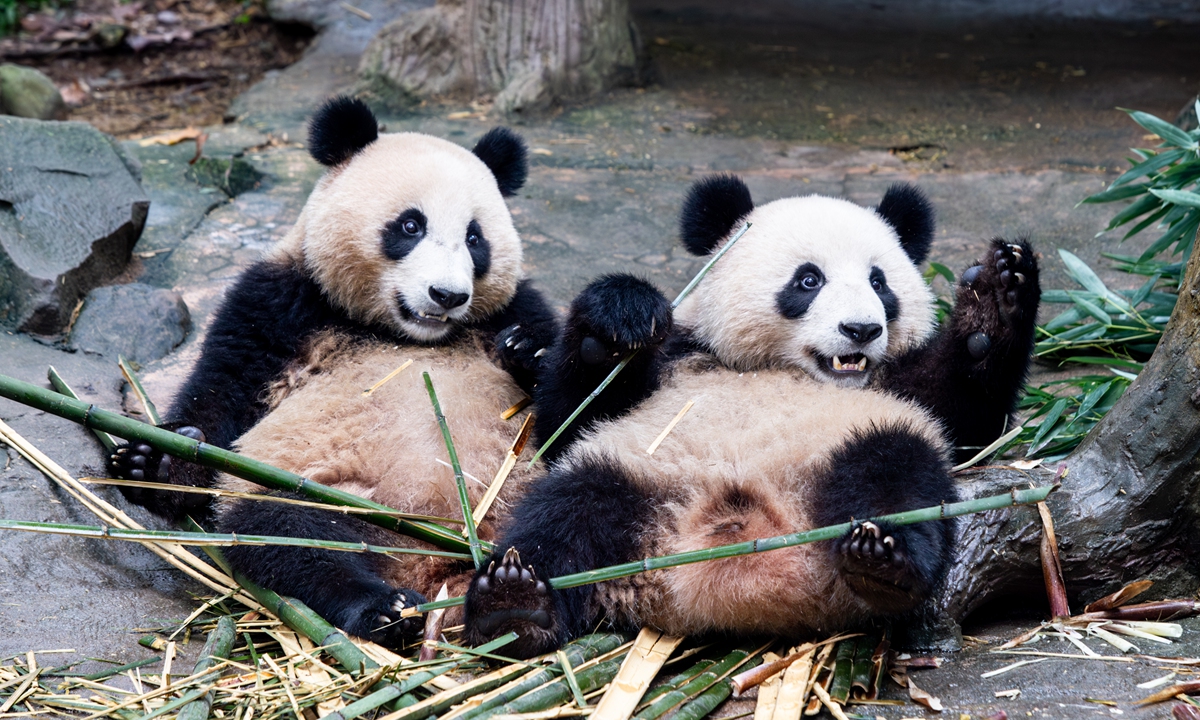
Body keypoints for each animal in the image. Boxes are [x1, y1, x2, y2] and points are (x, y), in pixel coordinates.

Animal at [108, 96, 558, 647]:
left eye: (475, 239)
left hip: (519, 500)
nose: (448, 296)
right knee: (292, 536)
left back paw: (514, 605)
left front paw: (530, 352)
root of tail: (432, 571)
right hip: (324, 496)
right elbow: (222, 391)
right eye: (410, 226)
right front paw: (155, 461)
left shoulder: (518, 307)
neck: (404, 333)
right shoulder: (280, 304)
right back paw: (392, 608)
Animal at [459, 175, 1040, 658]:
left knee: (896, 476)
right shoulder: (679, 358)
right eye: (808, 280)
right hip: (631, 470)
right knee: (565, 515)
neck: (785, 368)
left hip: (859, 439)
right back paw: (513, 604)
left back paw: (881, 560)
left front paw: (997, 296)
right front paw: (615, 321)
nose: (861, 330)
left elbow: (968, 418)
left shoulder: (900, 387)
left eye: (879, 283)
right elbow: (567, 420)